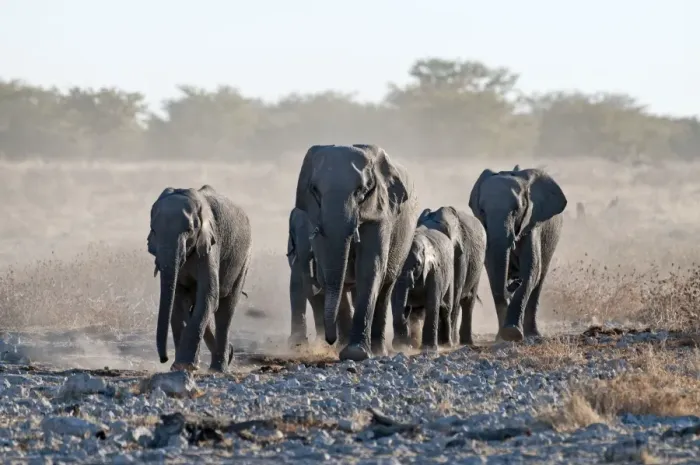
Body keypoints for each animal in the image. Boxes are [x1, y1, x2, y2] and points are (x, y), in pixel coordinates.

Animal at [147, 185, 252, 372]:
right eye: (153, 231)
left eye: (189, 231)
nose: (164, 359)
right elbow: (178, 299)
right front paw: (179, 367)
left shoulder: (210, 245)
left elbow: (208, 295)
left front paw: (185, 365)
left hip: (243, 259)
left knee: (226, 309)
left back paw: (220, 367)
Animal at [294, 144, 420, 361]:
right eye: (315, 190)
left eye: (361, 191)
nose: (329, 339)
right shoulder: (313, 216)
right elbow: (330, 272)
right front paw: (344, 350)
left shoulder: (381, 211)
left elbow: (370, 268)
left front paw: (356, 353)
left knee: (386, 287)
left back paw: (378, 350)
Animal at [417, 206, 486, 346]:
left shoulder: (461, 254)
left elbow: (455, 291)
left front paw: (448, 343)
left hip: (479, 266)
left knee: (468, 302)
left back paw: (463, 342)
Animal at [469, 166, 567, 342]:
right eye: (482, 211)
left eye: (516, 211)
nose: (514, 282)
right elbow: (493, 273)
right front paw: (502, 337)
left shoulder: (532, 222)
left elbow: (532, 269)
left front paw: (512, 333)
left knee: (539, 279)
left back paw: (533, 334)